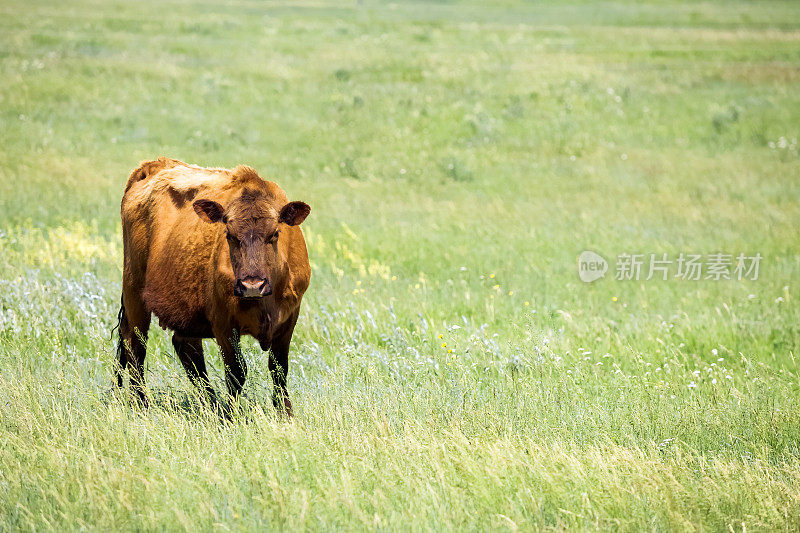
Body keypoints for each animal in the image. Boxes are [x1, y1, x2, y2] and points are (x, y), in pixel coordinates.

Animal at [114, 156, 310, 414]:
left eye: (275, 234)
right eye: (229, 235)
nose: (252, 285)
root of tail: (153, 165)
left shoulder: (289, 319)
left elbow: (279, 369)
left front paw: (285, 414)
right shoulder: (224, 323)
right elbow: (236, 372)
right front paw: (231, 416)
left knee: (186, 349)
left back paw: (210, 404)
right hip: (134, 293)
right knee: (136, 348)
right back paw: (142, 404)